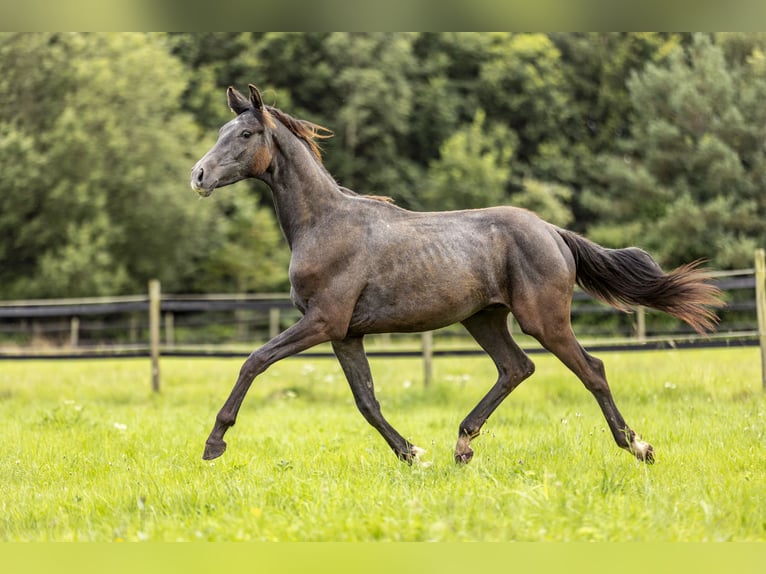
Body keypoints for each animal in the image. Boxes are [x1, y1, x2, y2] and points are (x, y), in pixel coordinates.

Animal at [192, 84, 728, 468]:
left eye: (244, 135)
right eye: (221, 128)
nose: (198, 176)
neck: (325, 223)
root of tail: (551, 231)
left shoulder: (323, 321)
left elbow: (255, 361)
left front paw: (214, 443)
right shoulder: (345, 333)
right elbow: (367, 401)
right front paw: (412, 454)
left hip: (543, 319)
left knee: (590, 369)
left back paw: (638, 447)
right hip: (484, 318)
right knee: (516, 367)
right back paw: (463, 445)